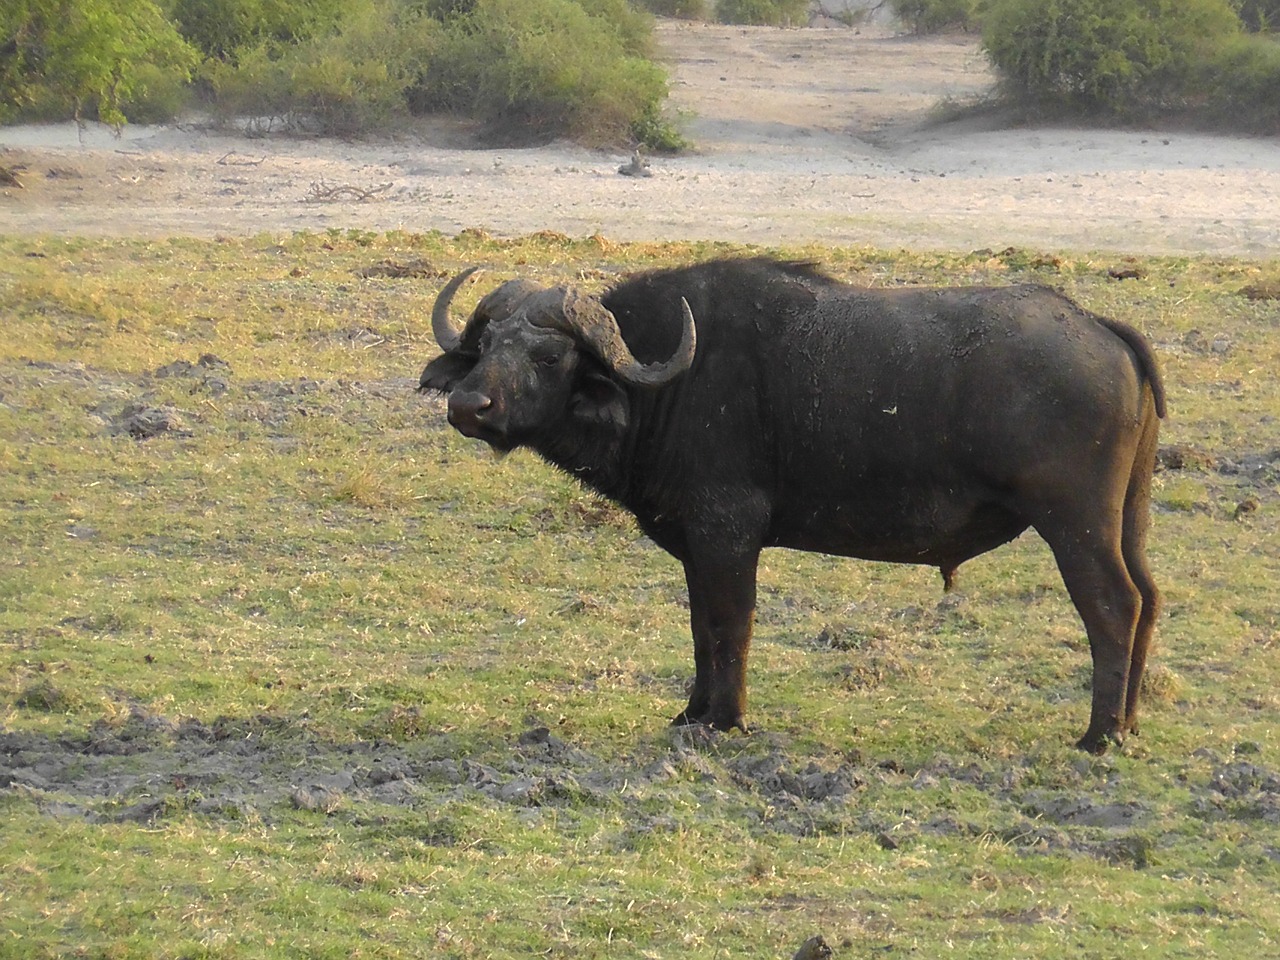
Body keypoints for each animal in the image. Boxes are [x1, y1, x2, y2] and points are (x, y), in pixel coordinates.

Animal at [414, 259, 1167, 757]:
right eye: (486, 345)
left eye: (547, 355)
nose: (469, 405)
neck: (675, 381)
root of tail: (1099, 326)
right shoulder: (697, 545)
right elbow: (701, 628)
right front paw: (692, 713)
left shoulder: (728, 534)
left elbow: (731, 625)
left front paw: (727, 719)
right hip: (1128, 522)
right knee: (1149, 599)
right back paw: (1129, 722)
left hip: (1075, 524)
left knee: (1113, 607)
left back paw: (1099, 734)